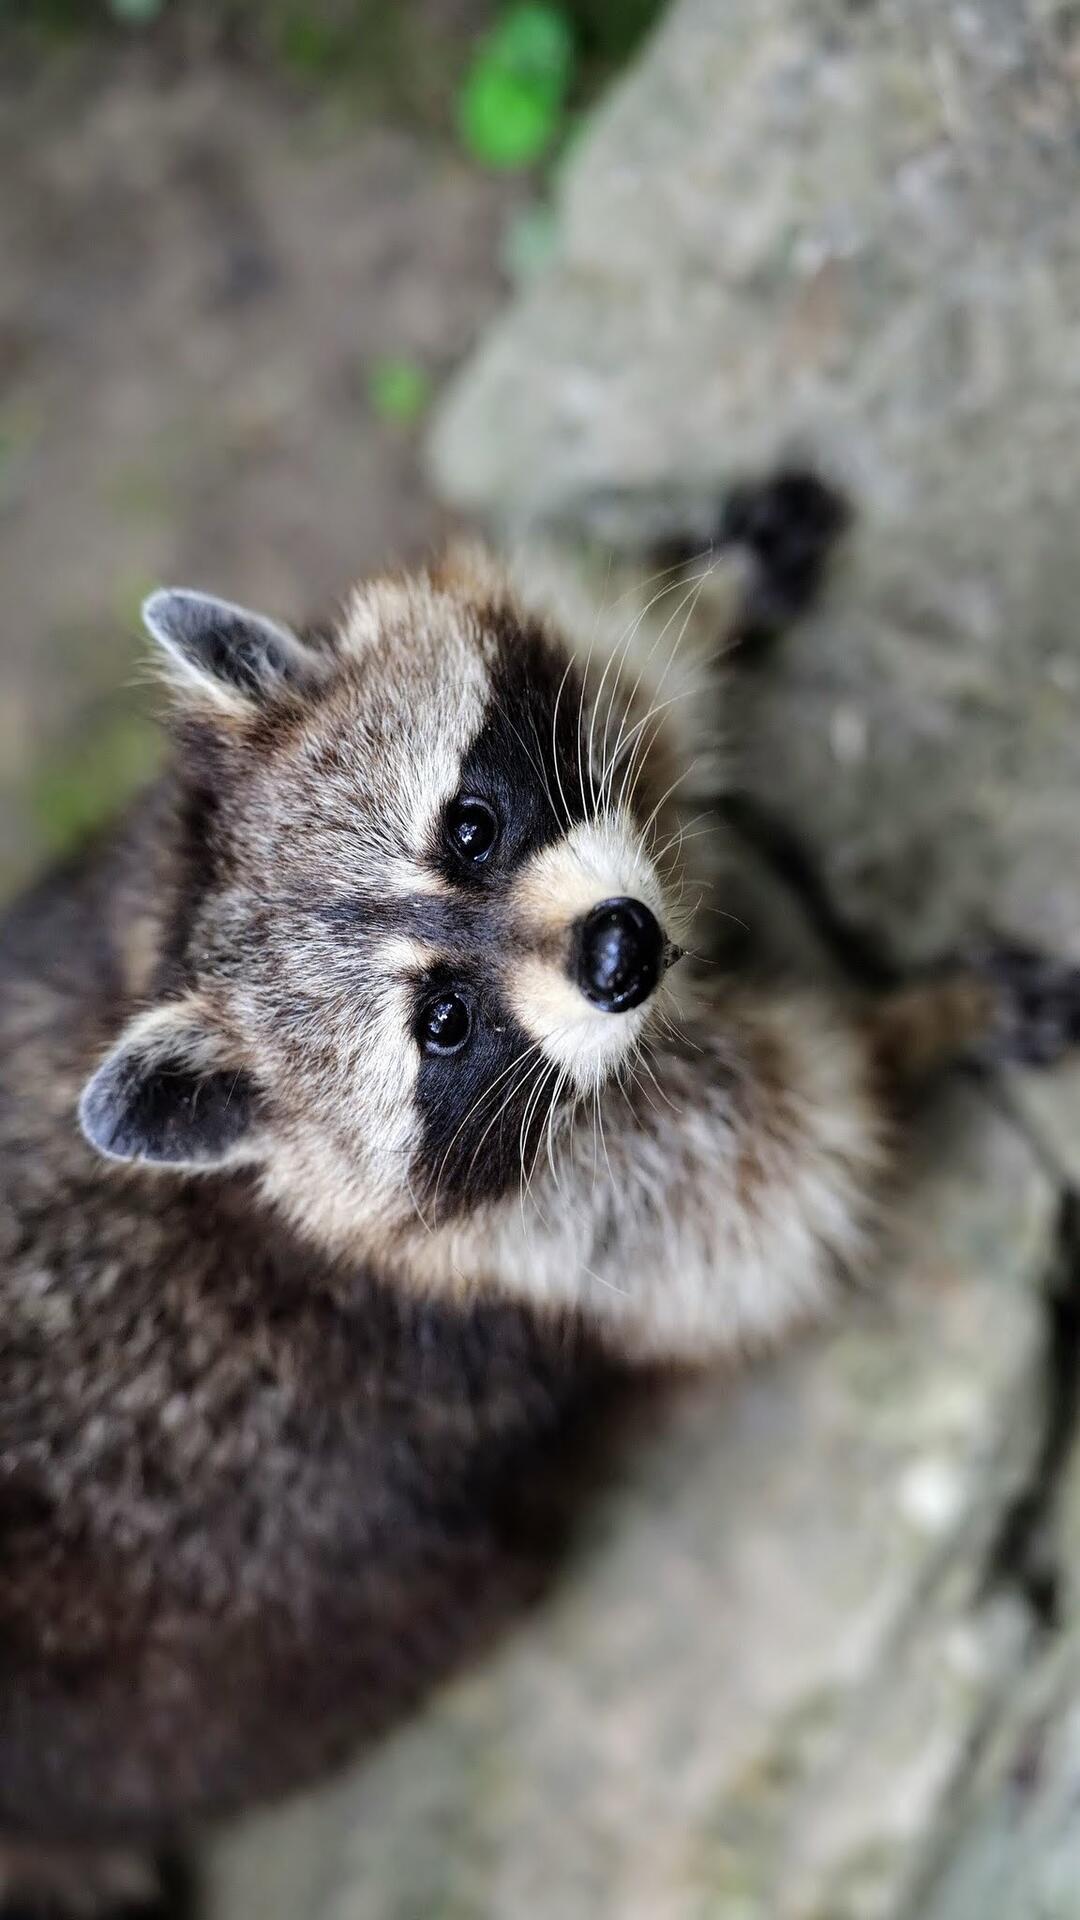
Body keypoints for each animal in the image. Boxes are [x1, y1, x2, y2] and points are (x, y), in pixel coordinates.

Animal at [2, 503, 1076, 1912]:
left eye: (469, 826)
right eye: (444, 1024)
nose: (625, 950)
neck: (168, 930)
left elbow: (615, 669)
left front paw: (712, 595)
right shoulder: (602, 1224)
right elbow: (811, 1151)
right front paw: (921, 1025)